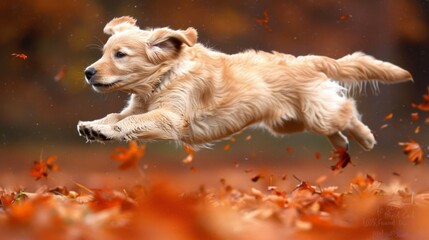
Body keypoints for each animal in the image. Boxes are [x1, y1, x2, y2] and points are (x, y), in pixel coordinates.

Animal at [77, 15, 412, 151]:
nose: (88, 72)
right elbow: (117, 116)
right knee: (335, 123)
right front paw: (94, 126)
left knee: (347, 110)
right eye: (104, 52)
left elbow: (131, 122)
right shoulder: (138, 107)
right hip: (289, 122)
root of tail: (306, 60)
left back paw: (365, 138)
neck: (163, 78)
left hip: (318, 112)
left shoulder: (171, 117)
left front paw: (105, 130)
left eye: (120, 55)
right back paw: (341, 145)